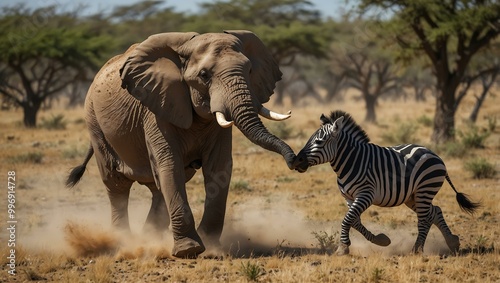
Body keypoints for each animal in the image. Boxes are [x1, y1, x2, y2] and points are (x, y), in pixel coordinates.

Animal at [64, 31, 294, 260]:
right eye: (204, 75)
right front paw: (188, 250)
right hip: (94, 122)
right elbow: (170, 163)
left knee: (159, 187)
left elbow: (219, 168)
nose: (295, 161)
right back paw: (123, 243)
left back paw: (150, 238)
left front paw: (211, 248)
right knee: (117, 184)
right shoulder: (156, 108)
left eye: (250, 70)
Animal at [292, 110, 480, 255]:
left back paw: (417, 249)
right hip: (412, 196)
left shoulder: (366, 194)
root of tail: (434, 154)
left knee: (424, 219)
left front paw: (343, 248)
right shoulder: (348, 197)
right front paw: (380, 240)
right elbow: (354, 221)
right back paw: (451, 241)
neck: (351, 161)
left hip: (424, 189)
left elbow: (347, 219)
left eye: (319, 141)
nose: (295, 160)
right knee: (434, 212)